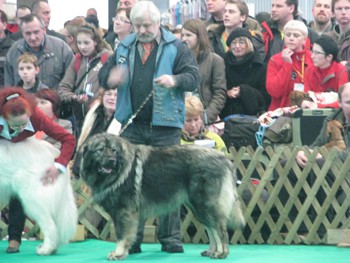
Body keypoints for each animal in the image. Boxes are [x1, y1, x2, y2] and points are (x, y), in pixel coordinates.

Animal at [79, 135, 245, 260]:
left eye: (113, 150)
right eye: (100, 150)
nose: (112, 161)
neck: (118, 171)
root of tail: (223, 158)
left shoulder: (123, 211)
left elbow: (121, 235)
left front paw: (118, 253)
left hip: (205, 204)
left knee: (220, 229)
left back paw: (221, 253)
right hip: (197, 207)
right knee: (211, 228)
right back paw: (212, 251)